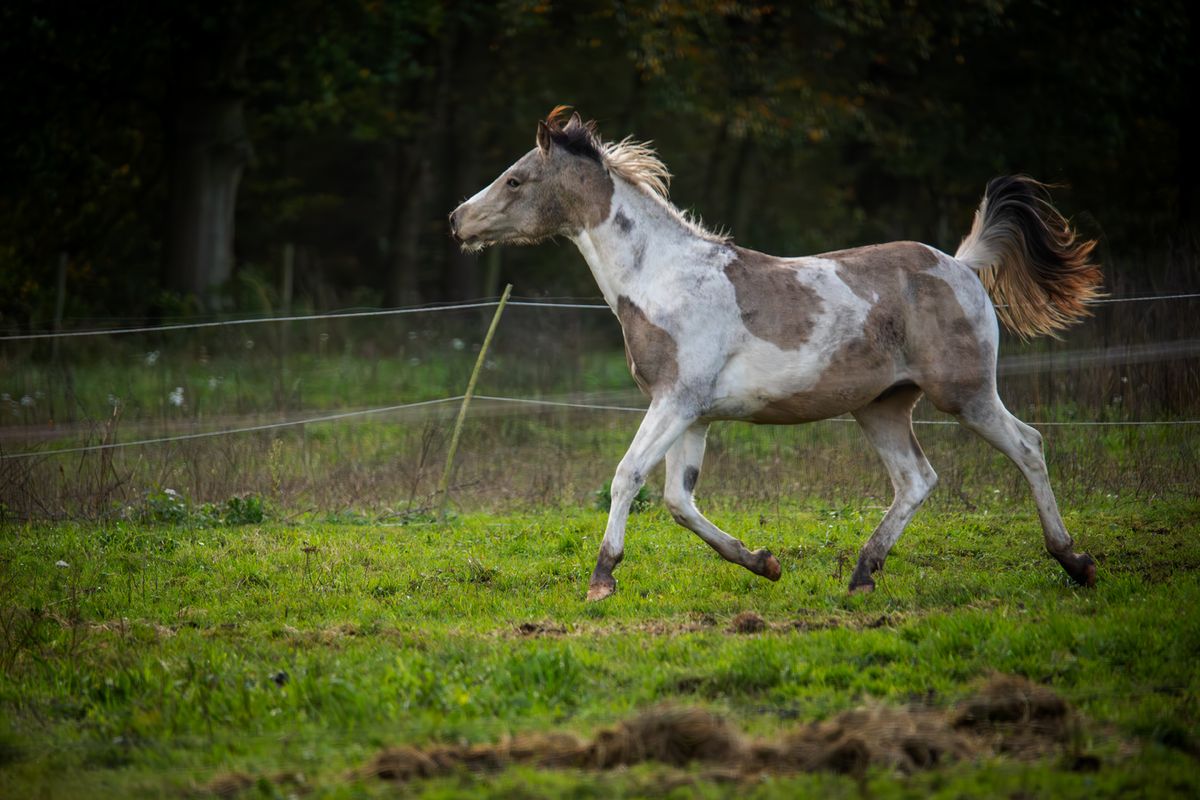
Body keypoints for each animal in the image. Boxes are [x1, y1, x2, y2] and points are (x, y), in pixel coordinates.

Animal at [448, 109, 1099, 604]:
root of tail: (961, 265)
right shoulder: (692, 415)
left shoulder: (674, 402)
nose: (457, 220)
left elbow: (627, 476)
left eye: (515, 180)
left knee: (1027, 446)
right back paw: (862, 576)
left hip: (964, 393)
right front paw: (763, 562)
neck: (664, 279)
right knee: (917, 478)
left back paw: (1075, 562)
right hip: (882, 406)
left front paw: (602, 579)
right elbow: (679, 500)